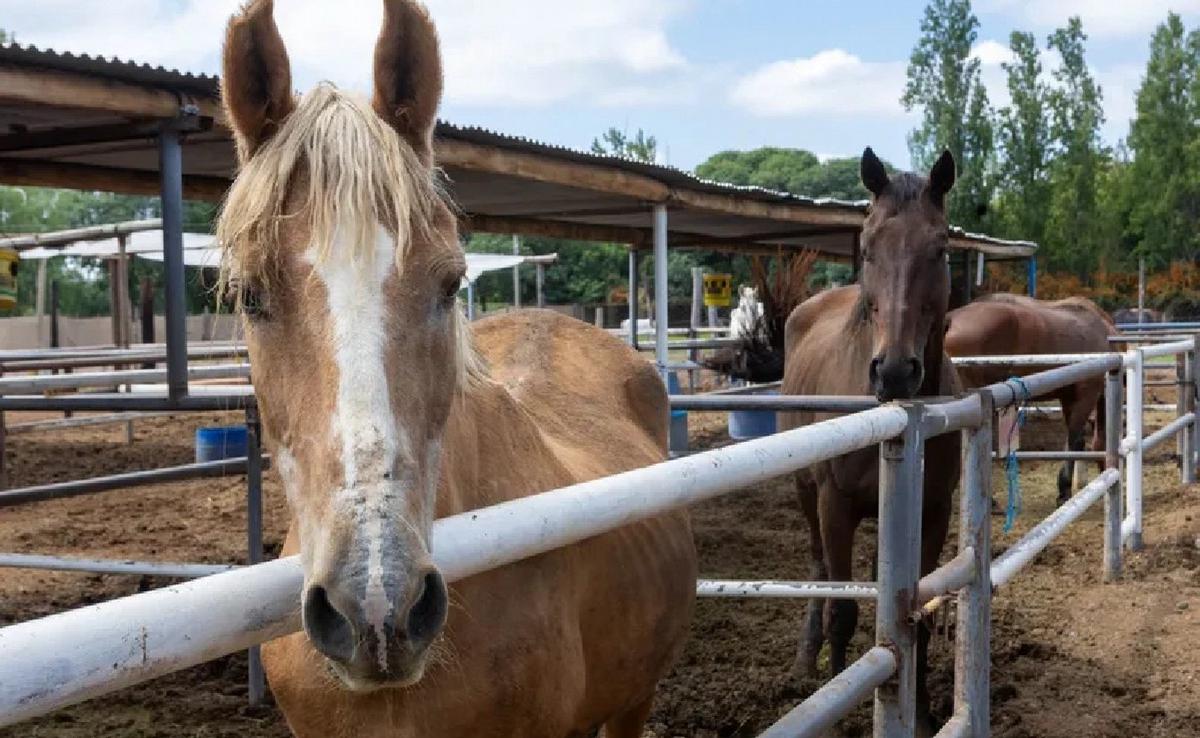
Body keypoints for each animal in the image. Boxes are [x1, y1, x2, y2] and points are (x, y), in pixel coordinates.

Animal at [780, 147, 962, 732]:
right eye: (867, 247)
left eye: (940, 246)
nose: (896, 371)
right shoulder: (834, 504)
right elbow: (843, 609)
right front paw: (836, 713)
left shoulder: (934, 511)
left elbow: (917, 612)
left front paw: (922, 716)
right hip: (806, 493)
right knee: (819, 572)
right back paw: (806, 658)